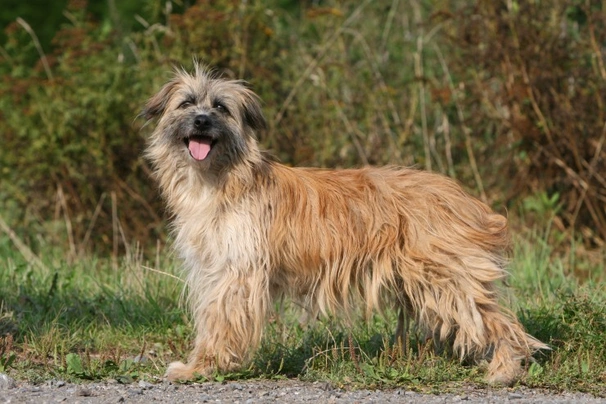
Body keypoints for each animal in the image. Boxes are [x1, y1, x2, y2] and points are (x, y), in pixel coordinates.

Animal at [145, 64, 548, 384]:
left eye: (220, 107)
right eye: (186, 103)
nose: (201, 120)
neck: (222, 178)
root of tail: (460, 196)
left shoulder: (236, 274)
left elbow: (219, 323)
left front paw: (202, 368)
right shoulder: (218, 271)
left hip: (447, 278)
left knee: (499, 322)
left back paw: (504, 369)